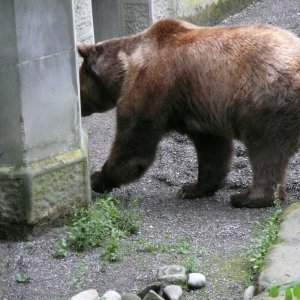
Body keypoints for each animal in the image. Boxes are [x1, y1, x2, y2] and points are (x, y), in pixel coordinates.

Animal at [77, 18, 300, 206]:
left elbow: (134, 147)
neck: (124, 70)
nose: (80, 109)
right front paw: (192, 188)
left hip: (264, 103)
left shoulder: (150, 89)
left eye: (79, 83)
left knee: (265, 150)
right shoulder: (200, 107)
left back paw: (248, 197)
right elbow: (213, 150)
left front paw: (97, 178)